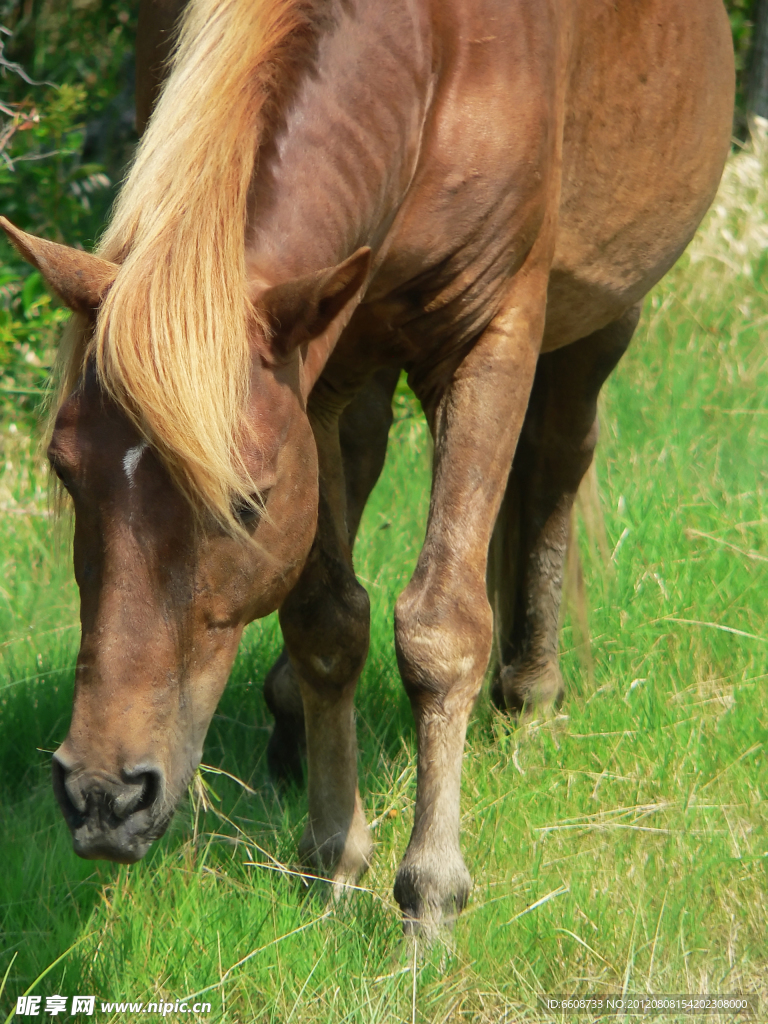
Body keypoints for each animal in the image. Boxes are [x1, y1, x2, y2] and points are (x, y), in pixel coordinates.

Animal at [0, 0, 733, 937]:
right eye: (64, 471)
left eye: (245, 503)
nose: (102, 796)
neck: (433, 53)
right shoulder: (323, 365)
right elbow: (326, 622)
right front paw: (331, 857)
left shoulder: (493, 335)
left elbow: (441, 627)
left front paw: (430, 891)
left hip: (603, 310)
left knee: (558, 461)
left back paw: (531, 698)